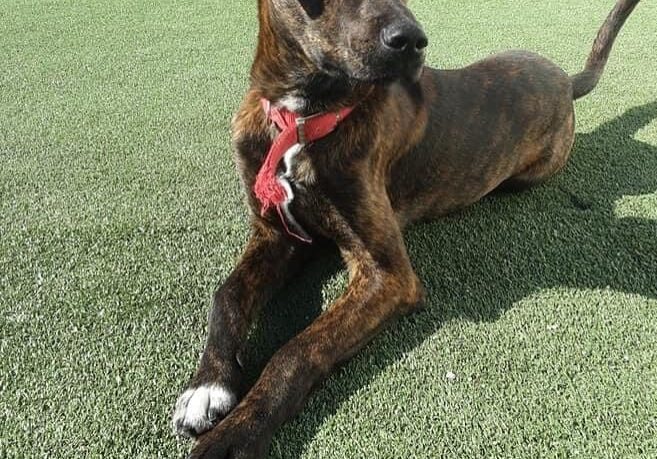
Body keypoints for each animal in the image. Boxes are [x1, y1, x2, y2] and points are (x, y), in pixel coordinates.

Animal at [173, 0, 640, 458]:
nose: (414, 41)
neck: (301, 121)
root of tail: (564, 79)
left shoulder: (388, 276)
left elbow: (297, 350)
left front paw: (235, 434)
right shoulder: (277, 234)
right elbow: (227, 295)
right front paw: (207, 386)